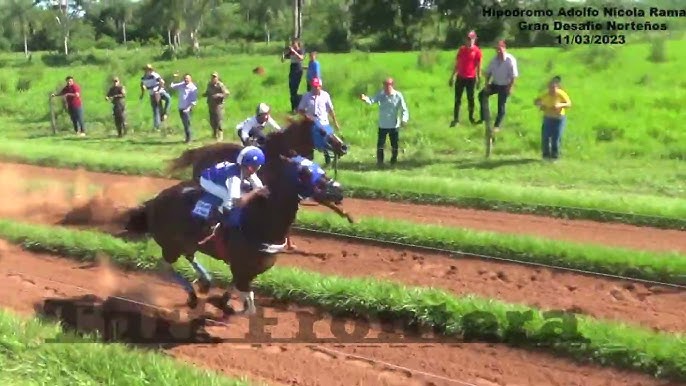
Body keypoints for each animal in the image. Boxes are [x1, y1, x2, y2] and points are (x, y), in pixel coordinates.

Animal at [123, 152, 344, 316]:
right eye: (304, 172)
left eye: (319, 167)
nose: (339, 190)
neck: (260, 221)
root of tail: (153, 201)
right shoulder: (241, 267)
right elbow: (250, 307)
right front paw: (224, 306)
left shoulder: (250, 269)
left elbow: (236, 289)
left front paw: (222, 302)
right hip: (170, 245)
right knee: (165, 267)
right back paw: (193, 295)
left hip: (188, 243)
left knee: (189, 257)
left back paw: (205, 282)